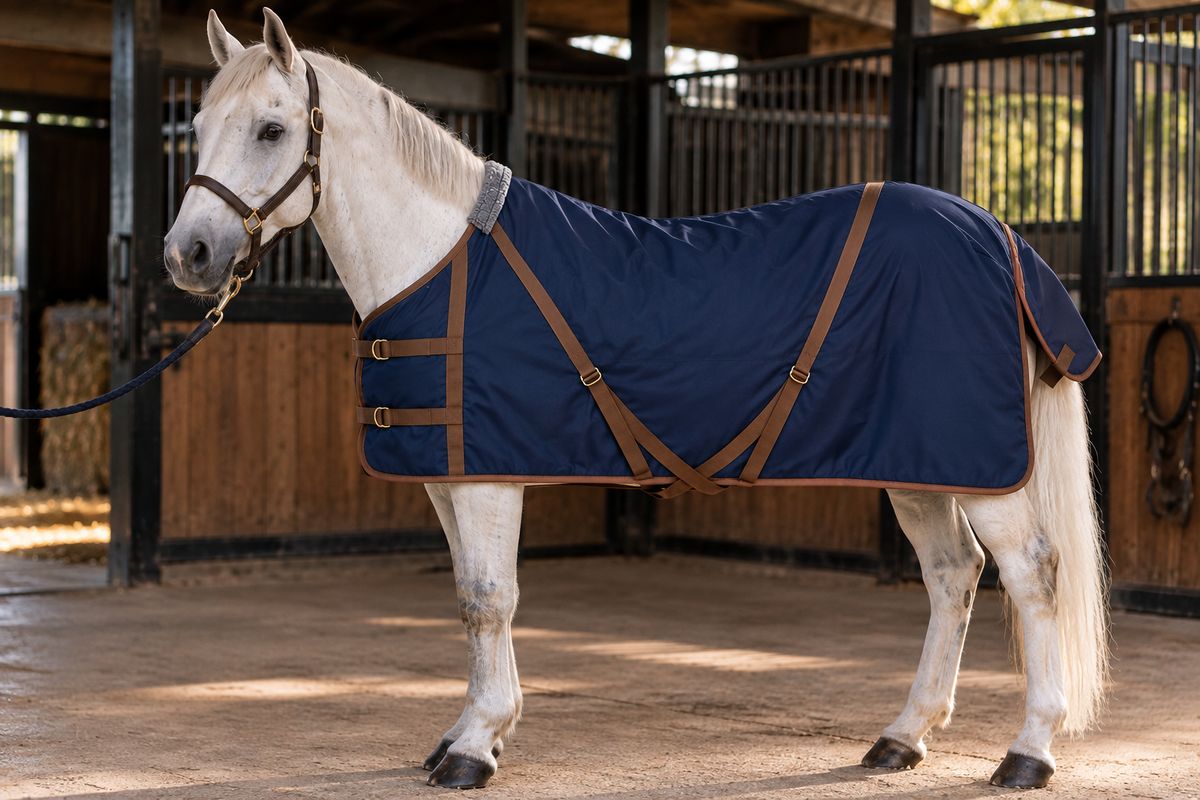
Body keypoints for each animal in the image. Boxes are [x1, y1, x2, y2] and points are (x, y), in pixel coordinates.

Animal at [162, 9, 1109, 791]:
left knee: (1031, 571)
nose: (189, 255)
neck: (441, 260)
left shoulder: (488, 477)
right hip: (919, 463)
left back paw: (1028, 752)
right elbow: (470, 599)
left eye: (273, 128)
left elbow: (489, 598)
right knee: (952, 575)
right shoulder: (444, 474)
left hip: (979, 466)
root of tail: (1000, 236)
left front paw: (474, 747)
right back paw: (902, 737)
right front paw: (478, 732)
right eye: (198, 128)